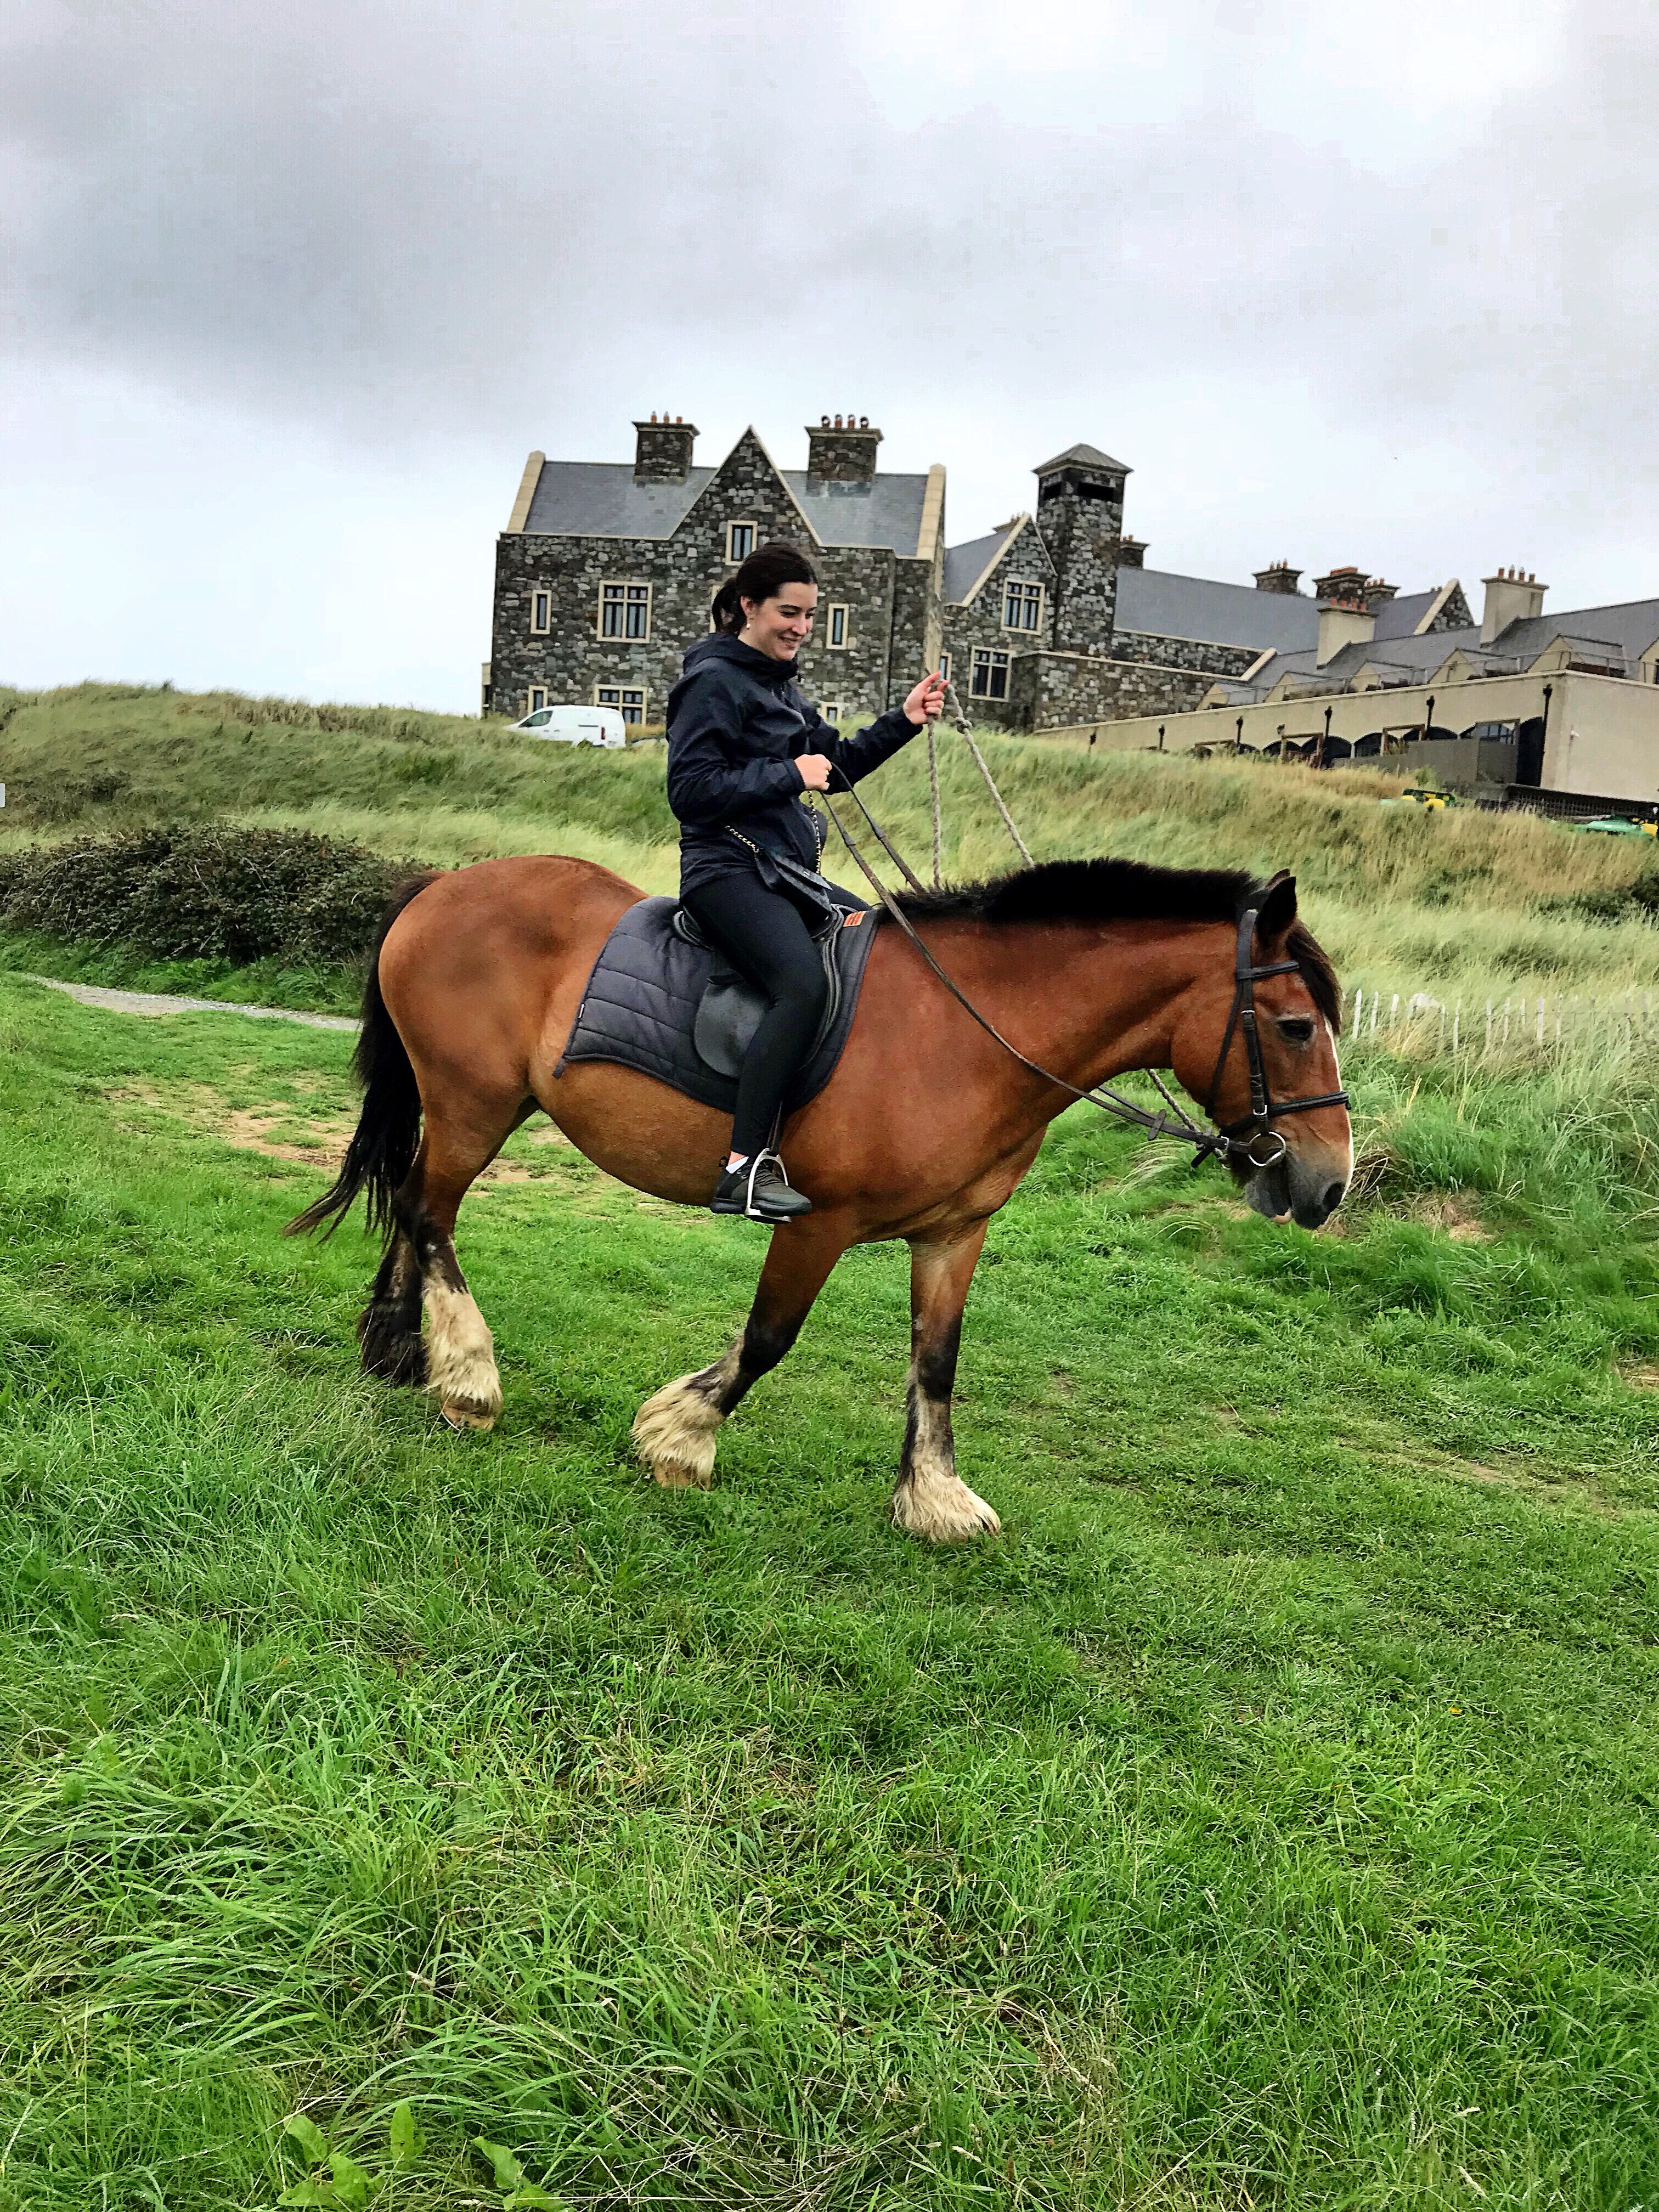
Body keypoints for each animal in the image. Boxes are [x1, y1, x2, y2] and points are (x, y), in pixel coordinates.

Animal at [290, 854, 1353, 1548]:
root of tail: (444, 884)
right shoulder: (819, 1223)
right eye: (1296, 1026)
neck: (967, 1032)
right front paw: (678, 1437)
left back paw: (399, 1351)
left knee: (415, 1204)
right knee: (429, 1212)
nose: (1328, 1183)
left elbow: (937, 1360)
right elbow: (768, 1338)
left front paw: (933, 1497)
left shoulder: (954, 1234)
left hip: (478, 1106)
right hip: (472, 1103)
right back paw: (467, 1377)